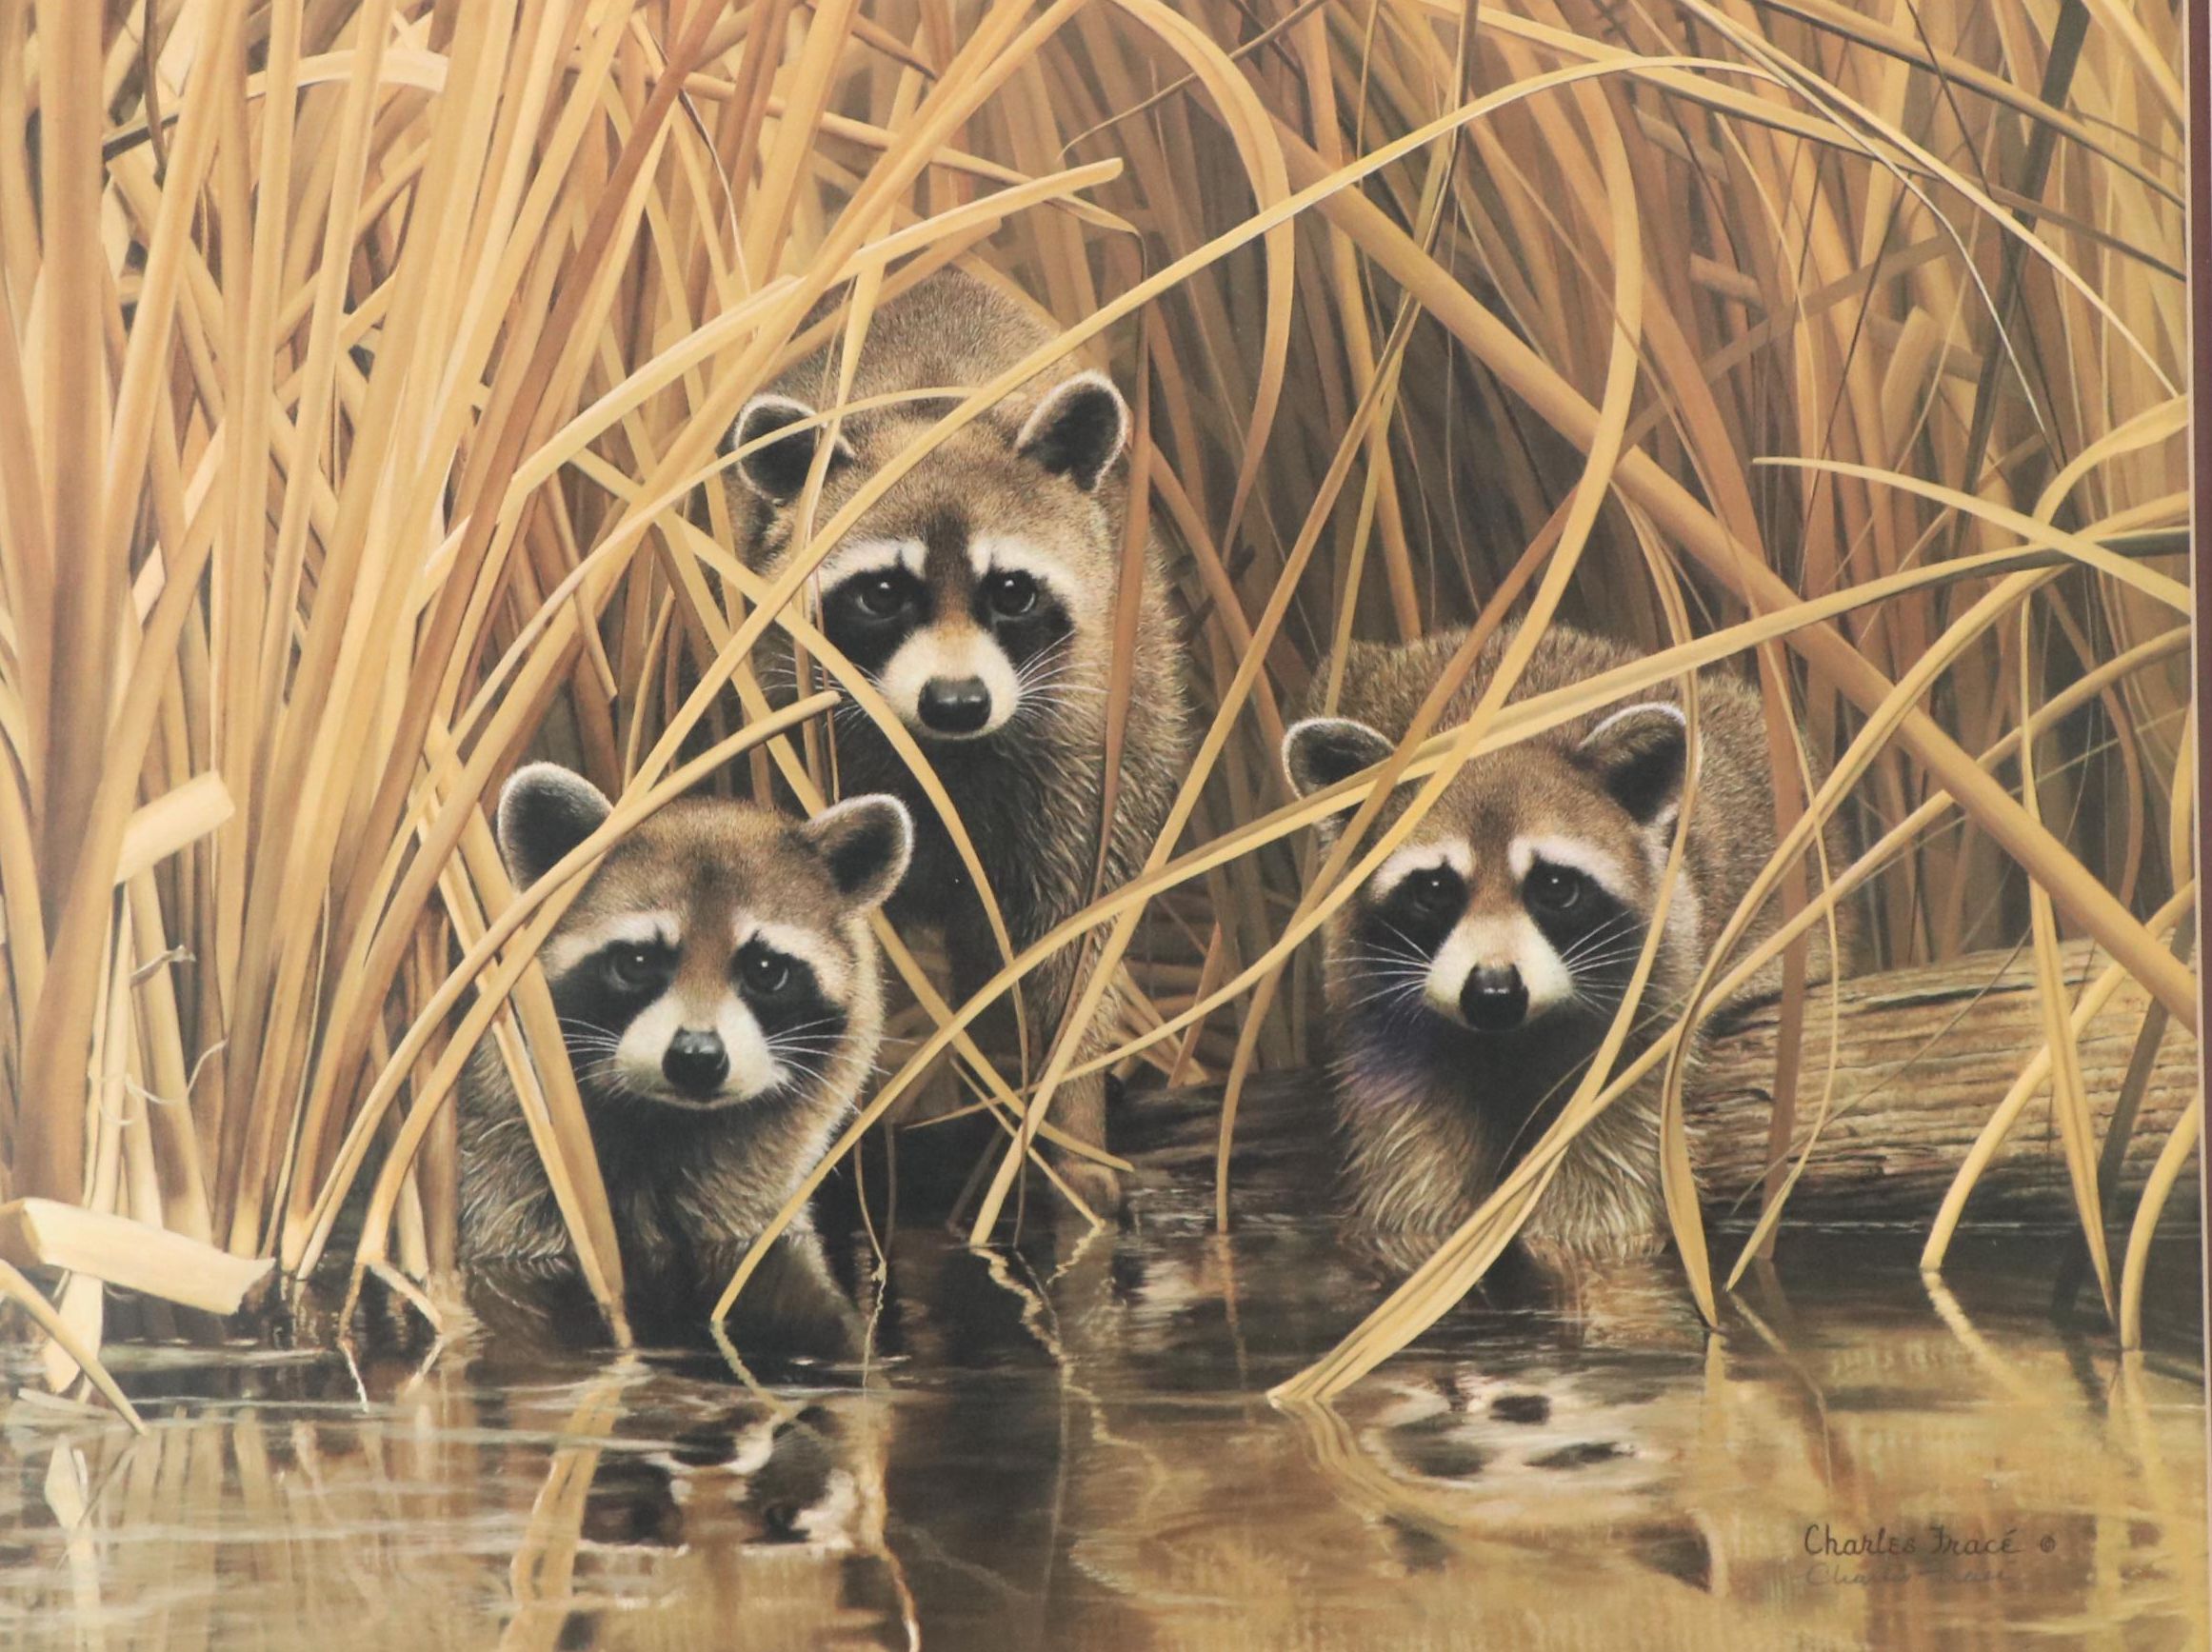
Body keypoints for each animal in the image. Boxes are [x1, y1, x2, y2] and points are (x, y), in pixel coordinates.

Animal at [724, 268, 1189, 1209]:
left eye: (1010, 591)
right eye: (880, 594)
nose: (956, 702)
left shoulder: (1089, 746)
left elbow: (1069, 948)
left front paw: (1073, 1138)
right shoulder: (798, 732)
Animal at [1281, 623, 1847, 1263]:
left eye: (1554, 886)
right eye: (1433, 889)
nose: (1494, 993)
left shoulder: (1653, 981)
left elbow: (1609, 1130)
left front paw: (1579, 1241)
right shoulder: (1366, 991)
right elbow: (1407, 1142)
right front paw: (1422, 1239)